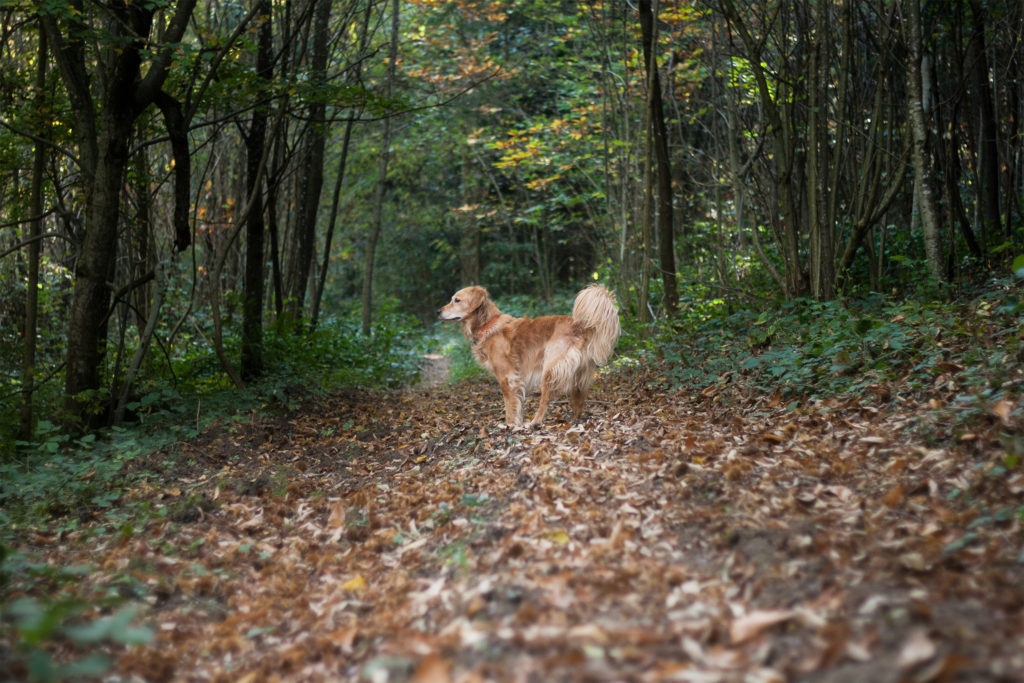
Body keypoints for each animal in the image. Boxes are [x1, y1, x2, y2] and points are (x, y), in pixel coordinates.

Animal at [436, 284, 618, 428]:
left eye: (457, 300)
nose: (437, 311)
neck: (487, 325)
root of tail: (579, 326)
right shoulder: (517, 380)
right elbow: (518, 403)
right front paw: (517, 422)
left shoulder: (507, 378)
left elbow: (509, 405)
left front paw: (510, 425)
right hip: (579, 373)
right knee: (579, 399)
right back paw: (574, 419)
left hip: (550, 369)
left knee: (545, 400)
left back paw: (536, 422)